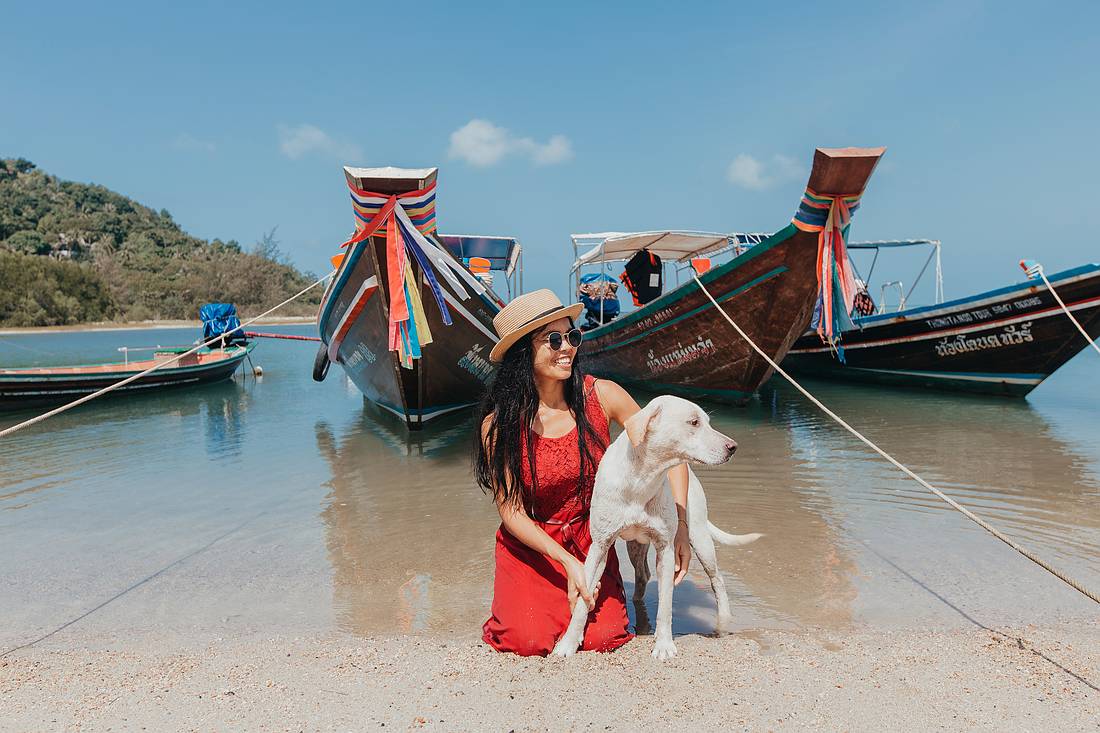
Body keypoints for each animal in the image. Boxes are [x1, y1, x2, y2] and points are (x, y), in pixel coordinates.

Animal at [554, 394, 761, 655]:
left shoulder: (666, 549)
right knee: (642, 574)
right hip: (634, 546)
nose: (733, 447)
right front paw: (568, 643)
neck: (643, 479)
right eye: (694, 422)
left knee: (717, 580)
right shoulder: (600, 546)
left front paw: (664, 645)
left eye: (707, 421)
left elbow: (666, 604)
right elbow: (583, 600)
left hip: (700, 538)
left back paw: (723, 620)